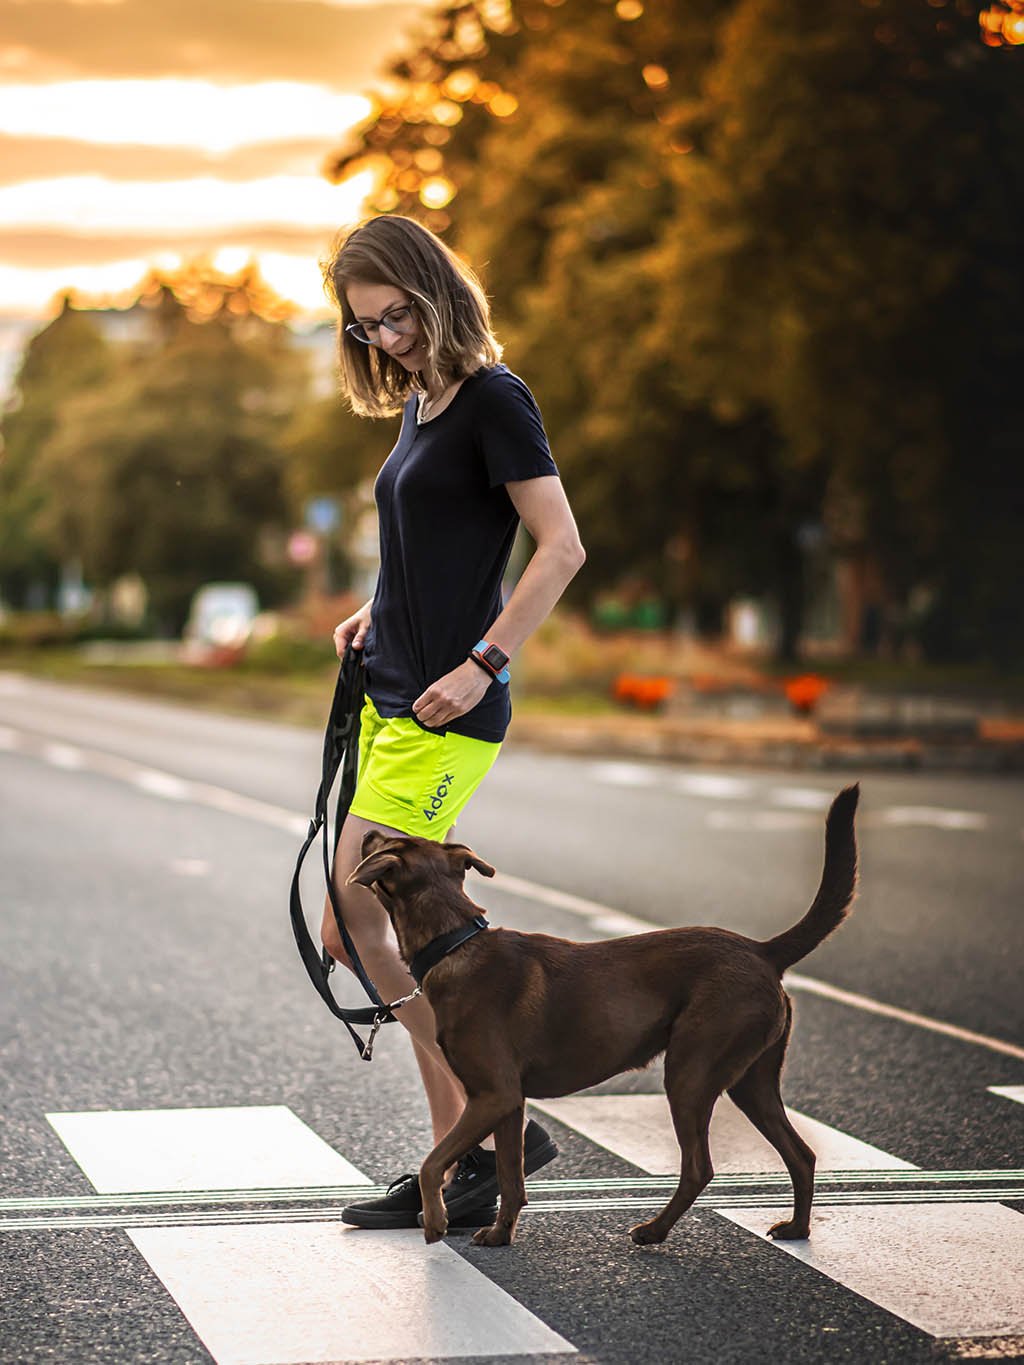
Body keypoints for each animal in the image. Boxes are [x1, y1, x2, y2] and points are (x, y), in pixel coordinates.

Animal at [349, 786, 862, 1244]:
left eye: (389, 846)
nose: (369, 829)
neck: (453, 941)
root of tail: (762, 951)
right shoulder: (507, 1102)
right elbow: (512, 1178)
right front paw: (499, 1234)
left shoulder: (492, 1095)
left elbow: (432, 1161)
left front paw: (435, 1220)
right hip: (751, 1079)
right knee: (801, 1154)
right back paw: (797, 1229)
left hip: (692, 1073)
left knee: (700, 1167)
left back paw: (654, 1231)